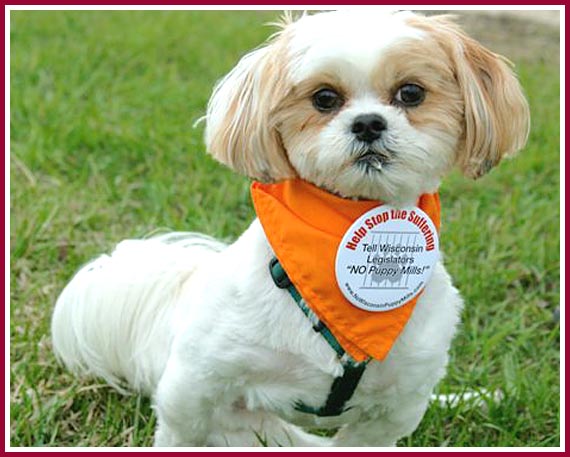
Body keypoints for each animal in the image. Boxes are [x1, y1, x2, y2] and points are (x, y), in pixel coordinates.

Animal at [50, 9, 528, 446]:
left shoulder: (395, 405)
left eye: (411, 93)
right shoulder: (196, 381)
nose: (368, 123)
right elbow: (183, 430)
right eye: (324, 98)